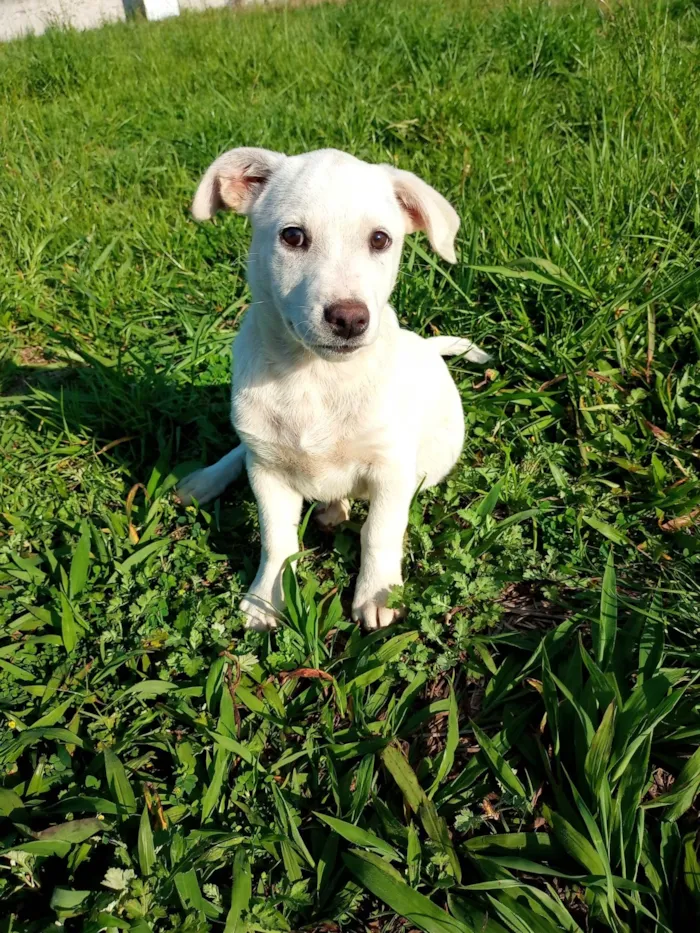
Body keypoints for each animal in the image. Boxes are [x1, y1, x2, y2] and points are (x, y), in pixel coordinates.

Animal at [178, 149, 486, 628]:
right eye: (292, 236)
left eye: (380, 239)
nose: (349, 318)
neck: (316, 377)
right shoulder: (268, 474)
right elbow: (277, 539)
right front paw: (266, 596)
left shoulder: (391, 469)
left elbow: (379, 531)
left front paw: (379, 593)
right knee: (241, 451)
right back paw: (207, 479)